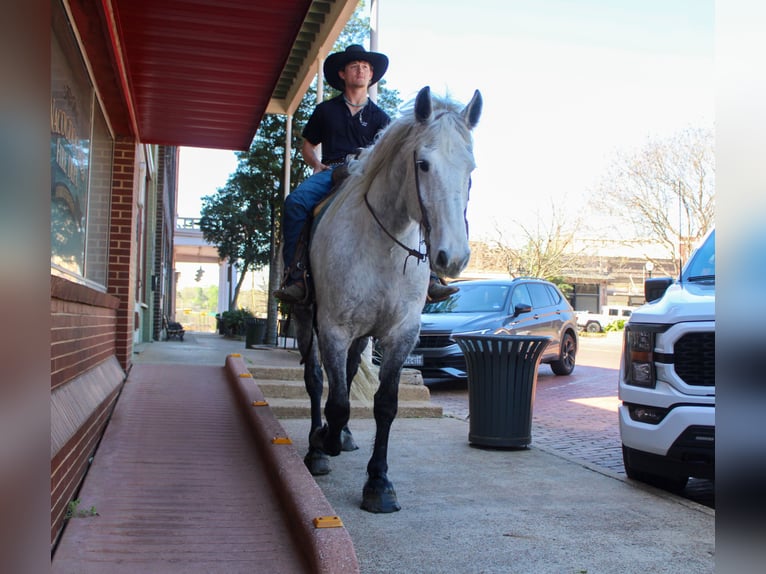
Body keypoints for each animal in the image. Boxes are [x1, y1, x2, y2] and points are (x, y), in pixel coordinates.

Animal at [290, 85, 482, 513]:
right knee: (315, 380)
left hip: (362, 334)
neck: (382, 243)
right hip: (305, 318)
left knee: (345, 374)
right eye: (423, 164)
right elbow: (336, 401)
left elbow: (385, 404)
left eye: (471, 170)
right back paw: (318, 448)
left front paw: (378, 482)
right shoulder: (333, 327)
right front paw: (324, 440)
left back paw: (343, 437)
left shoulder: (400, 333)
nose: (453, 257)